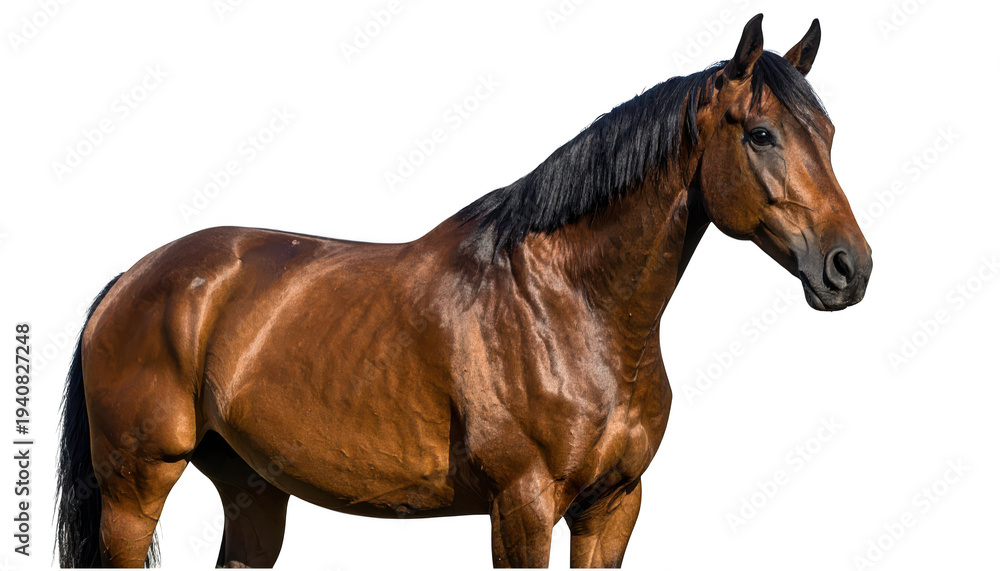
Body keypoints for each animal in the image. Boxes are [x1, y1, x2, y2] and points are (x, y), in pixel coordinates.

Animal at [55, 14, 872, 568]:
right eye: (760, 134)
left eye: (829, 135)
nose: (849, 268)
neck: (571, 309)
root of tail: (131, 281)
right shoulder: (522, 506)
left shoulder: (613, 505)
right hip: (135, 490)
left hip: (252, 488)